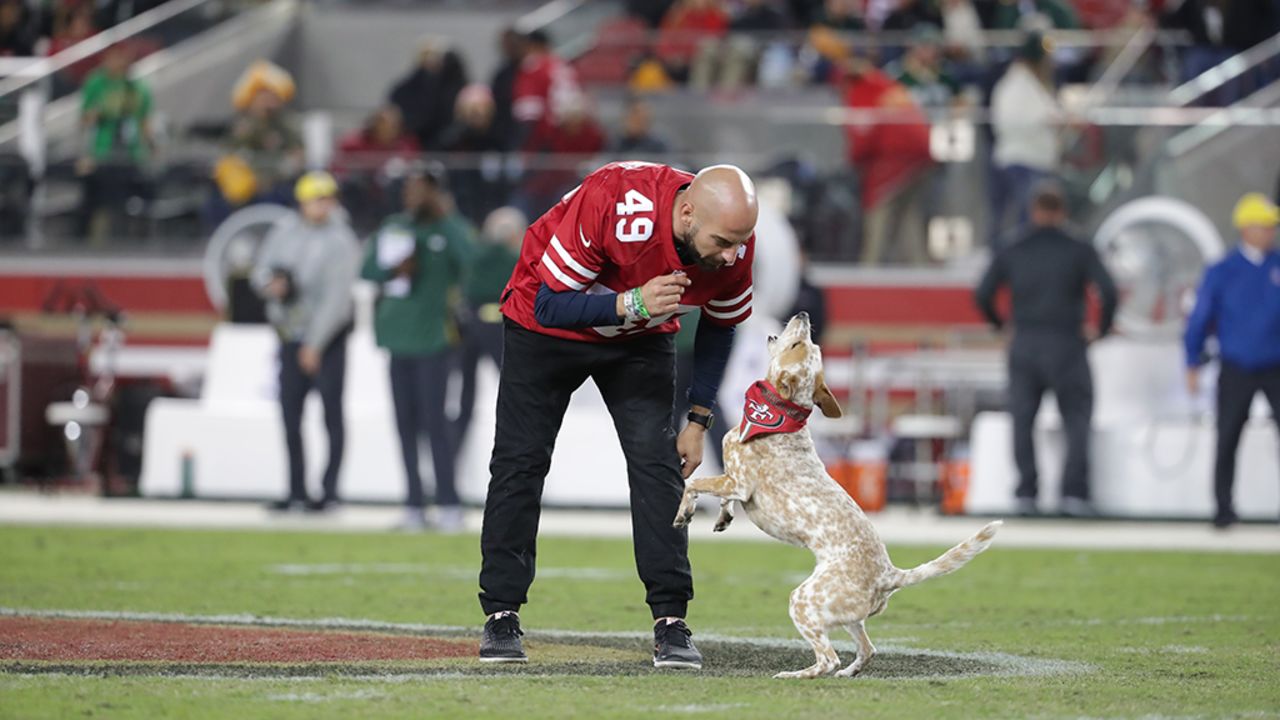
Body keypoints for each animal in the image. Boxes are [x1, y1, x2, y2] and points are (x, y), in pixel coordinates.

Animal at [670, 310, 998, 676]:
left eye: (799, 345)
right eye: (809, 345)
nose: (803, 314)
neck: (779, 415)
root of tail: (889, 575)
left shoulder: (737, 481)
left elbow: (693, 483)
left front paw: (684, 512)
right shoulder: (734, 482)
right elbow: (722, 498)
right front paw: (723, 518)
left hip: (803, 601)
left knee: (828, 659)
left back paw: (795, 674)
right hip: (849, 617)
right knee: (867, 651)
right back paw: (847, 673)